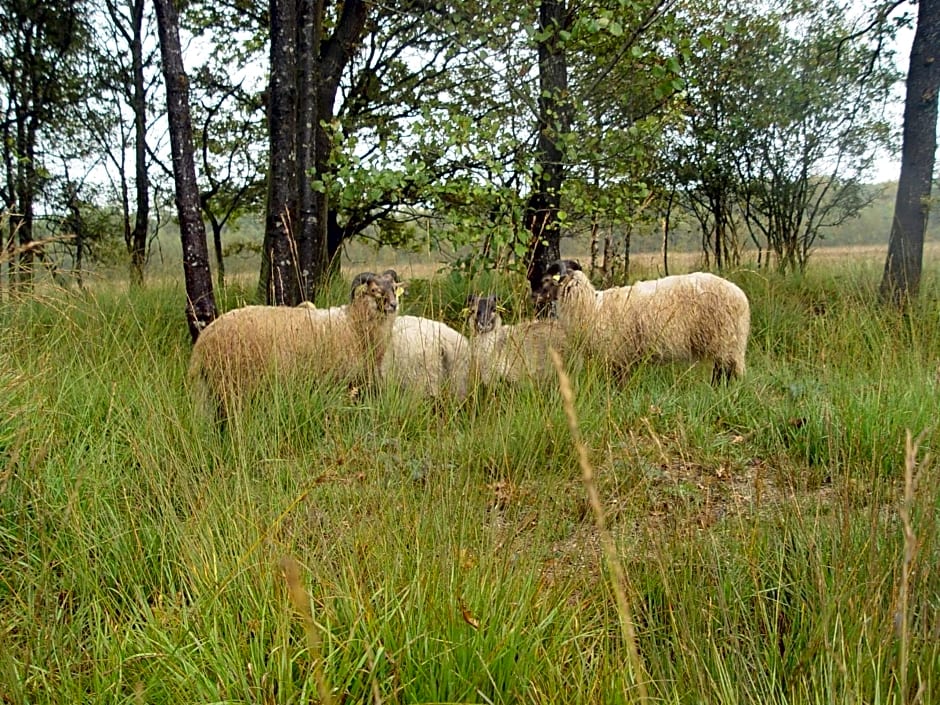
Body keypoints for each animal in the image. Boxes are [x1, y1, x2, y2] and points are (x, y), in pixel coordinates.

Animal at [189, 268, 398, 412]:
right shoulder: (339, 383)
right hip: (231, 385)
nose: (394, 305)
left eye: (395, 288)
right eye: (374, 290)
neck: (353, 325)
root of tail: (202, 341)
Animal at [536, 258, 748, 382]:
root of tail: (741, 297)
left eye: (546, 280)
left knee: (725, 372)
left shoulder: (617, 355)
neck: (592, 307)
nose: (534, 297)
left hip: (725, 340)